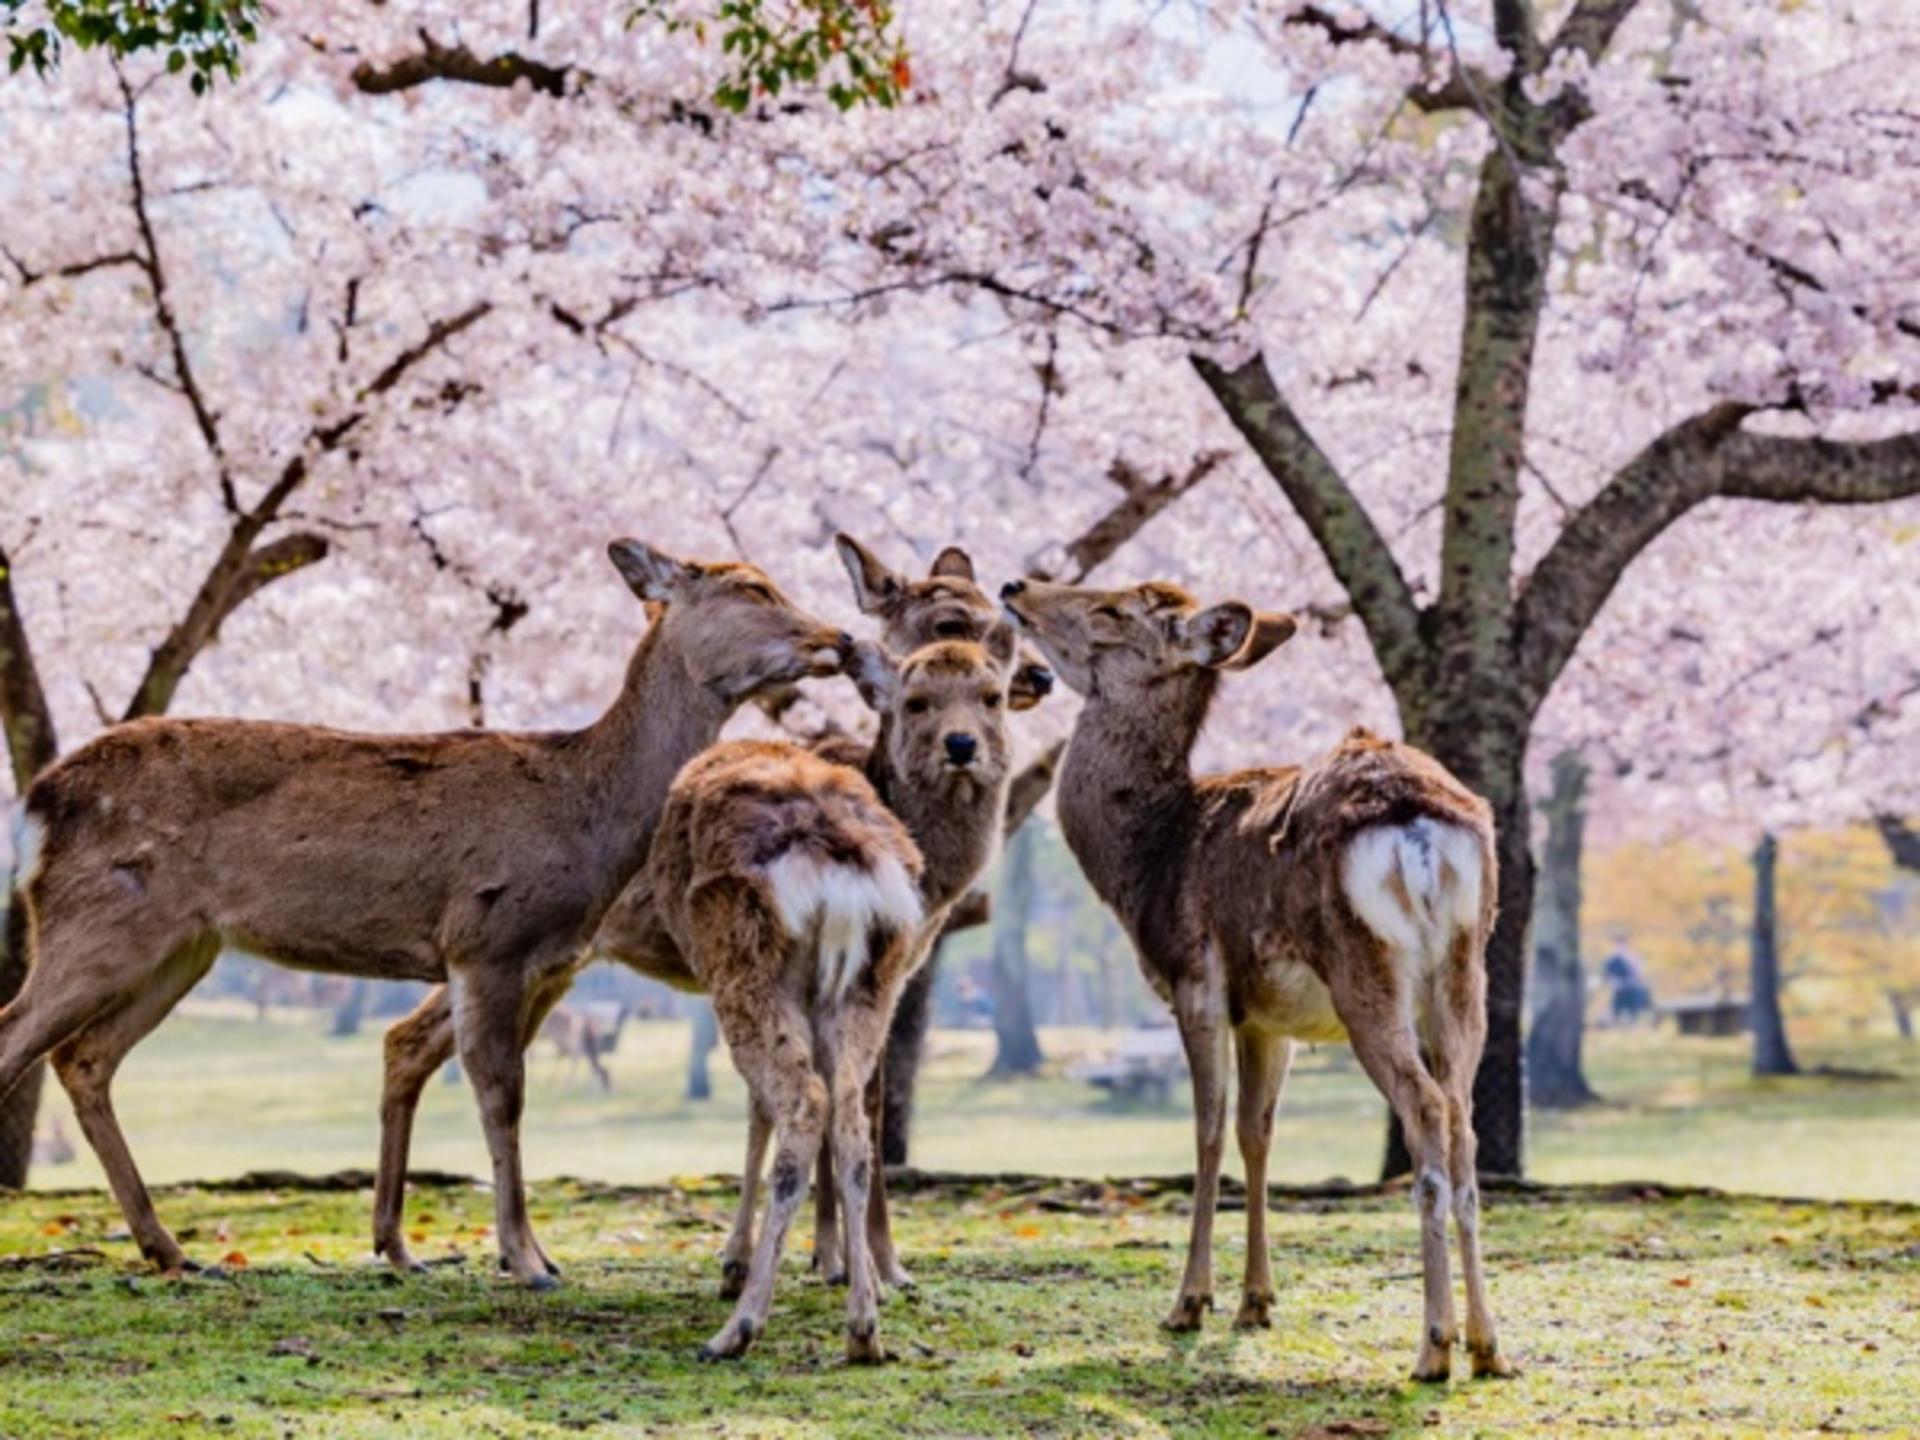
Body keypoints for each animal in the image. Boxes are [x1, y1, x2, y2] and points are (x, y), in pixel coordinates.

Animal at [0, 539, 851, 1289]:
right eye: (752, 587)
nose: (839, 637)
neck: (586, 812)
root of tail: (39, 801)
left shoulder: (543, 960)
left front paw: (517, 1255)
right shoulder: (487, 939)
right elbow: (502, 1093)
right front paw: (526, 1261)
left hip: (183, 946)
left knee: (85, 1056)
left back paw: (172, 1250)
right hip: (100, 920)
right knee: (20, 1033)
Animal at [370, 535, 1045, 1279]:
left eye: (1001, 622)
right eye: (951, 619)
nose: (1040, 676)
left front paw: (829, 1257)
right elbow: (857, 1097)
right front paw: (862, 1262)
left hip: (536, 963)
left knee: (409, 1041)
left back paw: (405, 1241)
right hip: (505, 950)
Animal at [999, 574, 1514, 1383]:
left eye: (1112, 610)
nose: (1016, 585)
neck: (1150, 859)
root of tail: (1420, 827)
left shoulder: (1196, 983)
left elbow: (1208, 1131)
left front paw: (1189, 1302)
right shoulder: (1271, 1019)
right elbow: (1257, 1133)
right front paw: (1256, 1302)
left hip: (1365, 969)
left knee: (1426, 1109)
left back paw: (1433, 1347)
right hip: (1465, 971)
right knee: (1462, 1117)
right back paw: (1488, 1345)